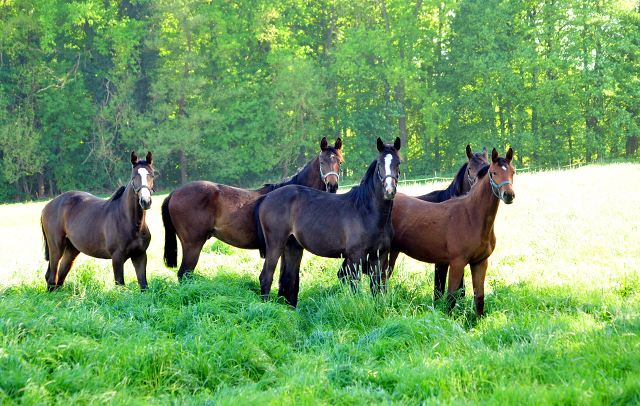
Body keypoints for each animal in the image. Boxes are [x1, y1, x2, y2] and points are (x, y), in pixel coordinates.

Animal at [41, 151, 156, 290]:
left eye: (152, 175)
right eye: (133, 177)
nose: (145, 201)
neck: (130, 223)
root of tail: (47, 205)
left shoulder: (140, 256)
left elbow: (143, 285)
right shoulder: (117, 258)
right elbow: (120, 285)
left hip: (72, 249)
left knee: (60, 275)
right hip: (56, 247)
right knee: (52, 276)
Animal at [164, 136, 344, 280]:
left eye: (340, 162)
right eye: (322, 161)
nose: (332, 186)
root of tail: (173, 193)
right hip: (193, 245)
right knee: (184, 274)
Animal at [254, 138, 400, 306]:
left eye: (398, 163)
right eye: (380, 164)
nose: (389, 191)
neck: (366, 210)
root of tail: (266, 197)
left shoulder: (379, 256)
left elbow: (376, 289)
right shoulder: (355, 257)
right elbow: (355, 290)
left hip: (293, 247)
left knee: (288, 280)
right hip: (275, 244)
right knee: (266, 276)